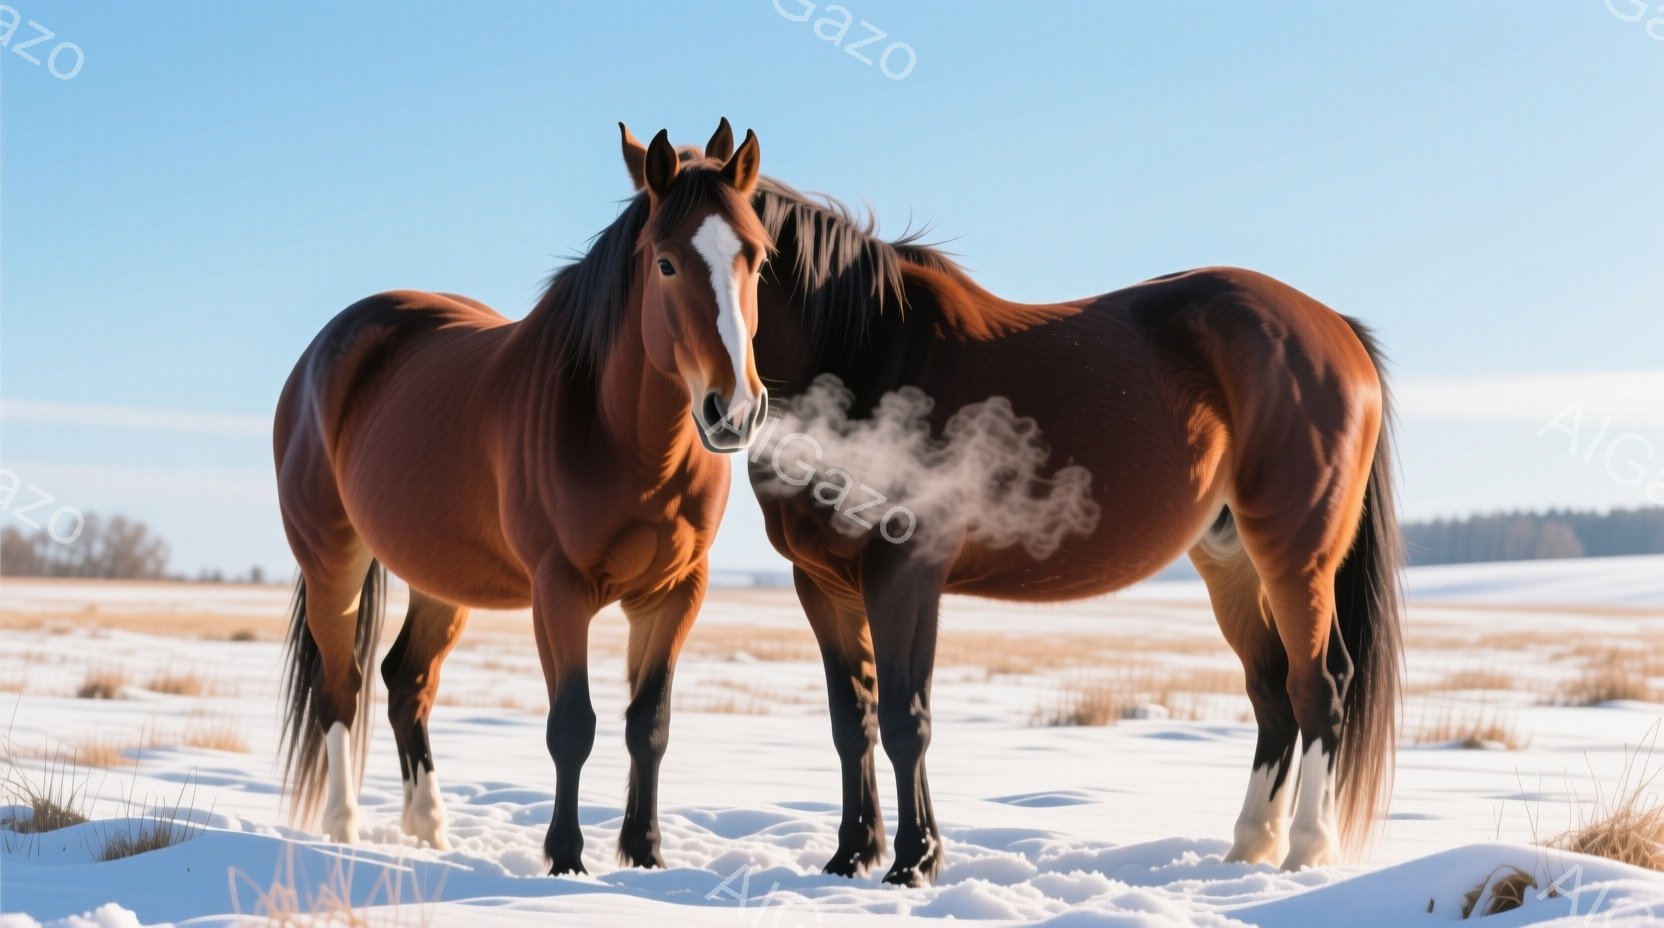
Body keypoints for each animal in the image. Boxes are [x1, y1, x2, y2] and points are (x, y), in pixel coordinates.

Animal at [273, 122, 771, 874]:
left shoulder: (677, 591)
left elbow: (648, 726)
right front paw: (566, 858)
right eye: (665, 263)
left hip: (439, 581)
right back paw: (344, 827)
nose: (733, 410)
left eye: (757, 259)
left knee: (406, 682)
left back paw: (431, 830)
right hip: (333, 562)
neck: (630, 442)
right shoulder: (559, 591)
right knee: (343, 686)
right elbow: (572, 726)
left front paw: (645, 854)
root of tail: (322, 353)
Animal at [640, 139, 1401, 886]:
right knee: (1271, 692)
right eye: (662, 260)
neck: (868, 352)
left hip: (1294, 556)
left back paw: (1305, 852)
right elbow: (850, 720)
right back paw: (1246, 851)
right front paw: (851, 858)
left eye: (757, 257)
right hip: (1228, 559)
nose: (730, 408)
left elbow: (905, 718)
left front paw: (914, 863)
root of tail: (1336, 330)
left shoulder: (904, 571)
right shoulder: (822, 583)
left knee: (1319, 687)